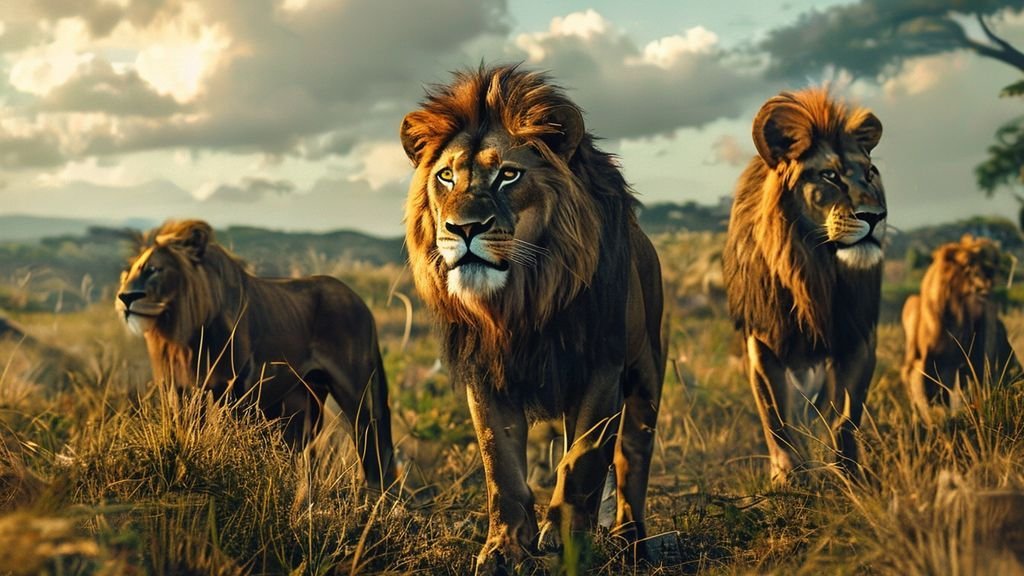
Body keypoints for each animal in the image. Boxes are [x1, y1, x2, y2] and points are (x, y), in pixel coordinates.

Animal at [115, 220, 396, 491]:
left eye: (154, 270)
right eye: (130, 272)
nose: (126, 297)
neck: (184, 331)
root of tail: (363, 304)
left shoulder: (235, 385)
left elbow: (229, 432)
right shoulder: (180, 386)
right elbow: (187, 429)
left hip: (356, 392)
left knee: (370, 438)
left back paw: (375, 494)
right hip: (306, 400)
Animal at [400, 65, 665, 572]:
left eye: (508, 174)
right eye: (446, 176)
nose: (463, 228)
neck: (523, 300)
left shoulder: (601, 368)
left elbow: (583, 461)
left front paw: (565, 541)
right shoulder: (486, 375)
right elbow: (500, 467)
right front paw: (503, 549)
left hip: (646, 374)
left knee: (632, 458)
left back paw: (631, 541)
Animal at [722, 88, 886, 485]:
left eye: (870, 173)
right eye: (829, 175)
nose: (875, 217)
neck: (814, 269)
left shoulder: (858, 337)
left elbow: (846, 419)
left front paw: (849, 477)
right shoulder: (763, 342)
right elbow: (777, 419)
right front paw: (789, 478)